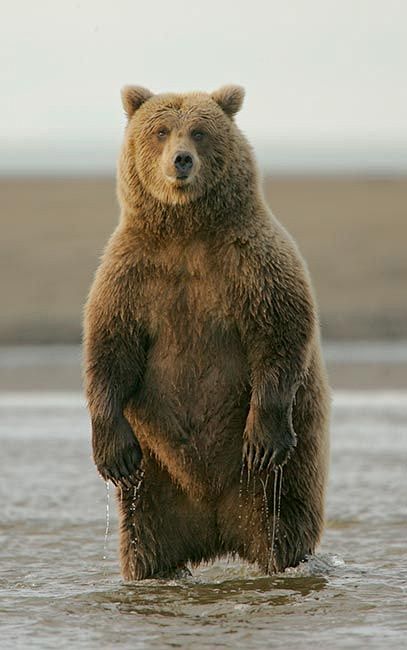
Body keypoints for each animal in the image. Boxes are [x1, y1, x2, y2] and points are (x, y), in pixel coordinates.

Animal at [83, 84, 330, 581]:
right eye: (160, 130)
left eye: (199, 131)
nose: (181, 160)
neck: (186, 230)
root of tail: (215, 528)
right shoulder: (132, 274)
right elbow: (110, 347)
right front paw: (112, 453)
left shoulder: (251, 263)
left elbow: (279, 333)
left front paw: (262, 439)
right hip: (156, 481)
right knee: (144, 538)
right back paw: (155, 572)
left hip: (277, 479)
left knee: (286, 525)